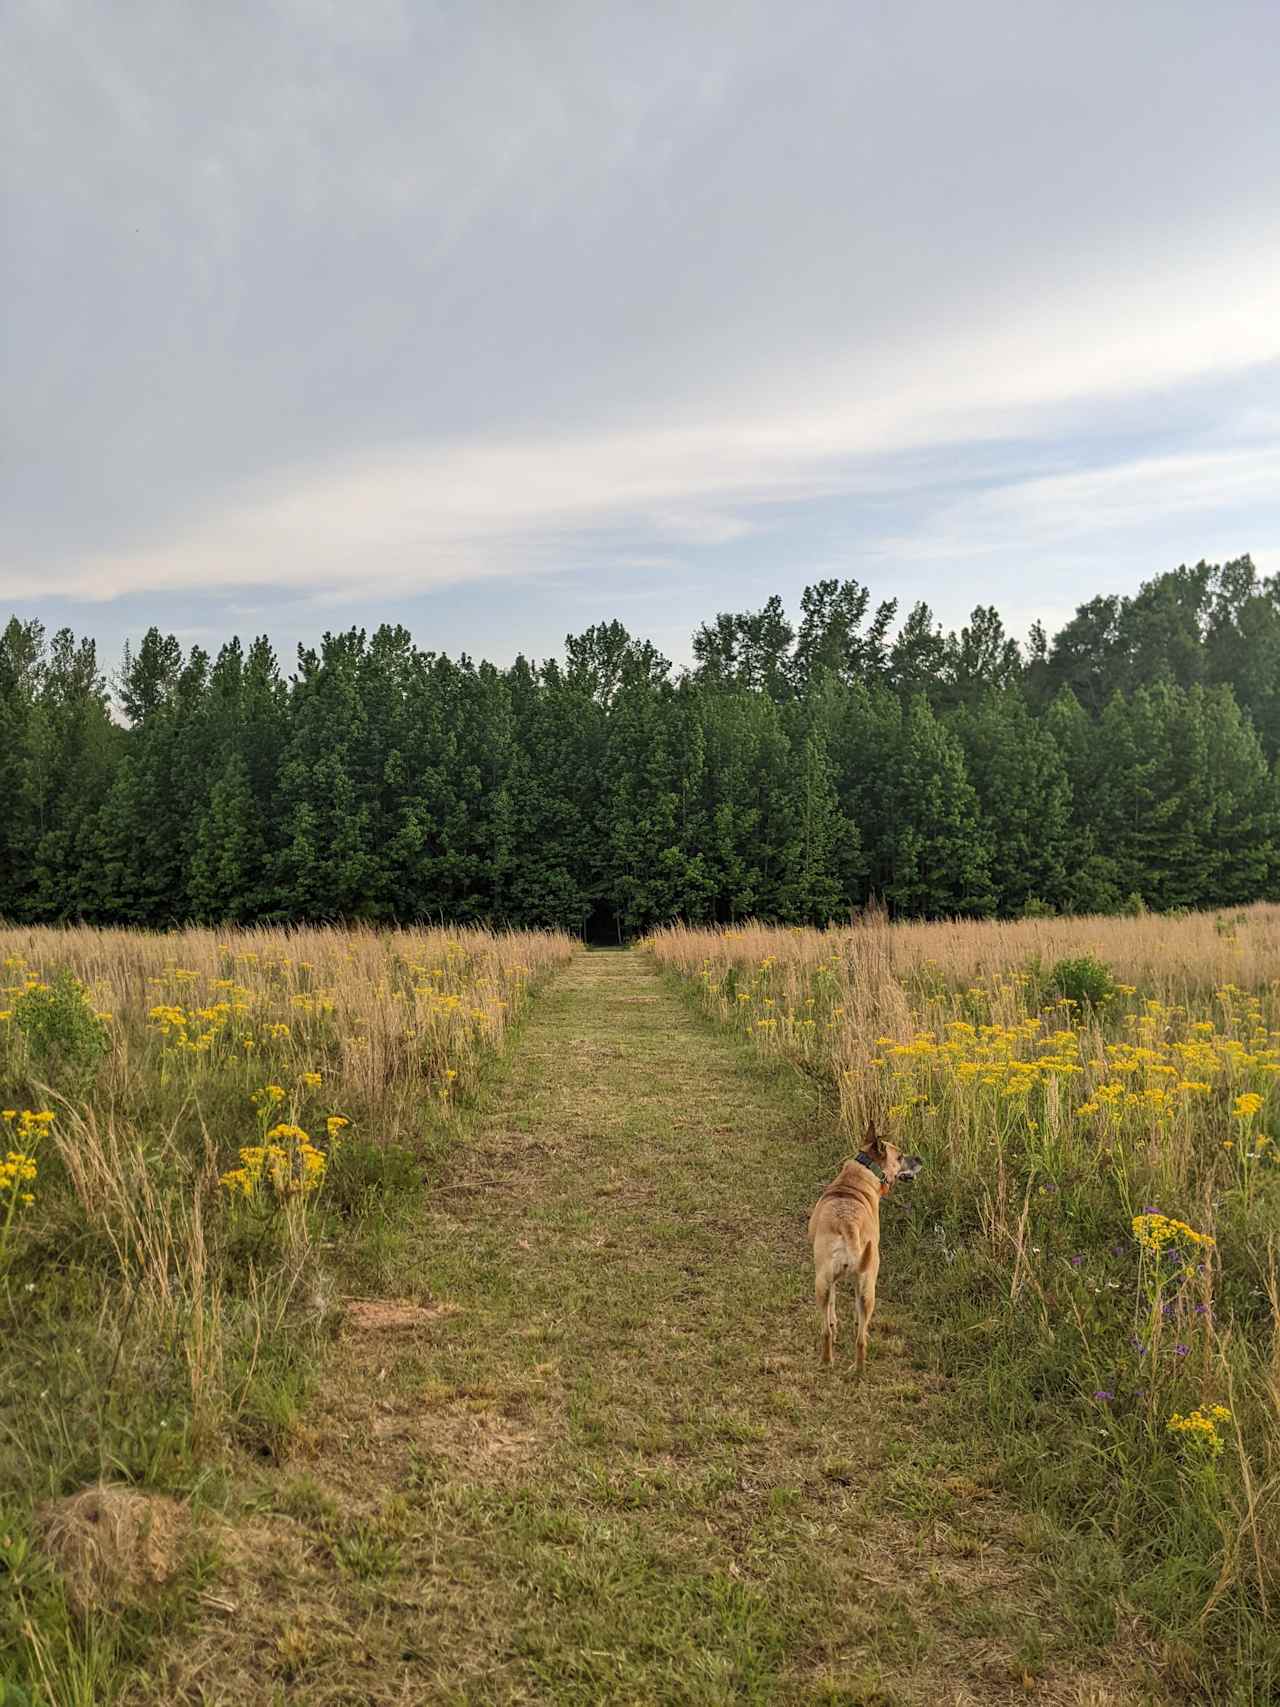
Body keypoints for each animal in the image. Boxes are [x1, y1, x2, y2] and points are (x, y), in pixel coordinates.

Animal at [805, 1119, 928, 1372]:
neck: (862, 1172)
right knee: (859, 1338)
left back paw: (831, 1362)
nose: (920, 1158)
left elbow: (834, 1311)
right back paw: (856, 1369)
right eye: (900, 1156)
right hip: (866, 1286)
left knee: (828, 1331)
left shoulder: (836, 1282)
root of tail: (848, 1225)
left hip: (825, 1283)